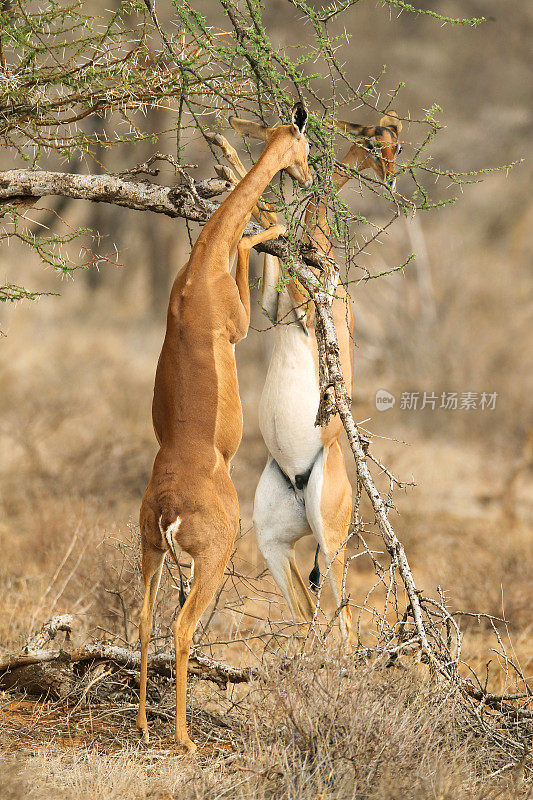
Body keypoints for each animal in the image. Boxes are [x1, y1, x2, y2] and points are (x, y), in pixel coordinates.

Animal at [135, 101, 312, 752]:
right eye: (302, 147)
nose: (307, 175)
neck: (199, 270)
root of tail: (168, 509)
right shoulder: (237, 325)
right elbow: (250, 244)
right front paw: (273, 225)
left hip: (148, 552)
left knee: (144, 618)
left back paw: (144, 724)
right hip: (211, 561)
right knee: (183, 627)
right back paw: (183, 738)